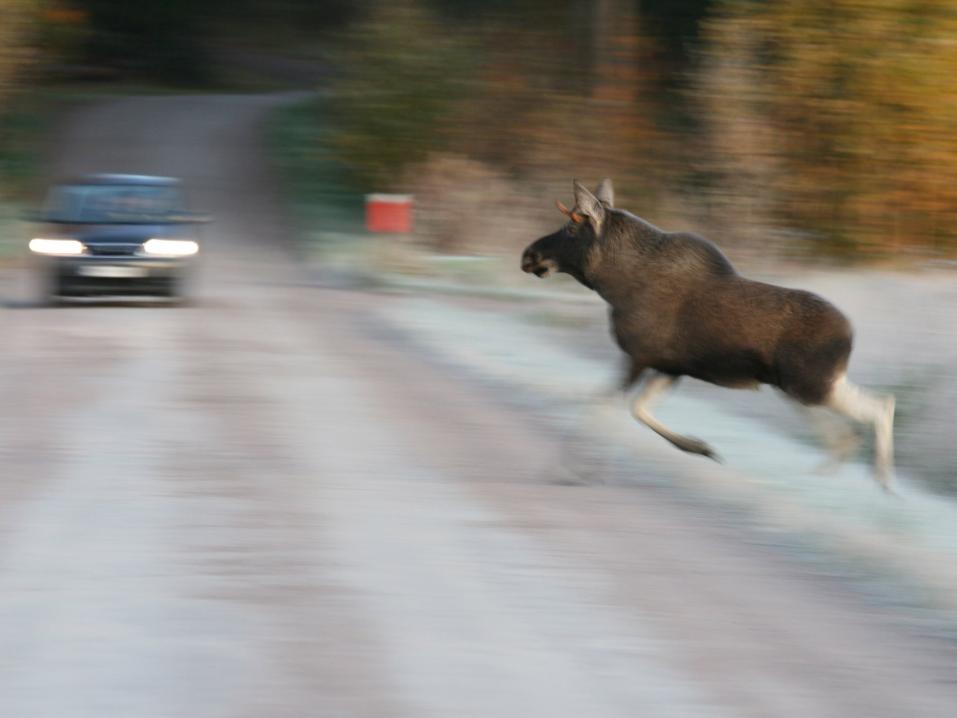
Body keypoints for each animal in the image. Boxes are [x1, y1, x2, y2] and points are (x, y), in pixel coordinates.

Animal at [524, 180, 896, 492]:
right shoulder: (670, 367)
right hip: (804, 386)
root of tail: (850, 334)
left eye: (572, 227)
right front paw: (699, 446)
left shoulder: (638, 357)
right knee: (870, 412)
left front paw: (573, 470)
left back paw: (870, 474)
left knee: (869, 414)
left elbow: (601, 407)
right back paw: (858, 474)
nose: (529, 255)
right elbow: (637, 409)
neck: (612, 286)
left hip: (806, 386)